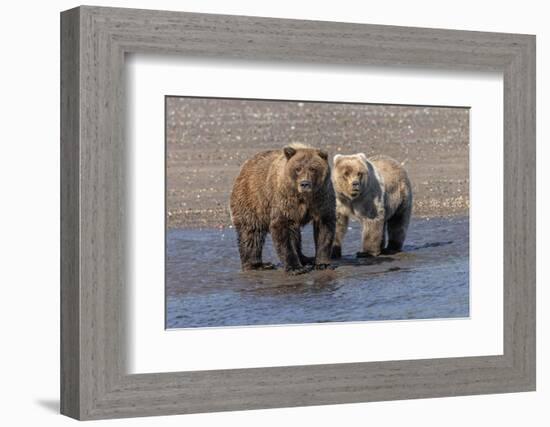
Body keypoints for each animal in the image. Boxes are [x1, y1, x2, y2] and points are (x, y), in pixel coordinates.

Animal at [232, 144, 338, 276]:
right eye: (298, 168)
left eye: (313, 168)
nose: (305, 183)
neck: (304, 197)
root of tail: (246, 165)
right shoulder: (286, 198)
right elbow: (283, 228)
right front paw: (295, 268)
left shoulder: (321, 198)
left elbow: (324, 227)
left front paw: (323, 264)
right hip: (253, 199)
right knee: (252, 231)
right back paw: (258, 265)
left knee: (296, 234)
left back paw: (305, 258)